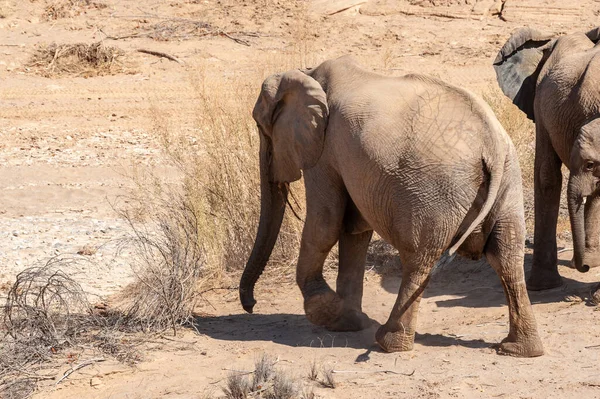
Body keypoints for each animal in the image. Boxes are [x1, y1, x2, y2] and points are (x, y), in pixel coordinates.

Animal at [239, 54, 544, 358]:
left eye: (261, 128)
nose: (250, 306)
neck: (307, 72)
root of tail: (491, 144)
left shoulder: (324, 150)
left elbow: (326, 224)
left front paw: (325, 311)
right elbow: (353, 231)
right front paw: (346, 322)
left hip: (435, 194)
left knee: (419, 259)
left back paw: (388, 343)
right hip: (508, 182)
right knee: (507, 257)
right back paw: (518, 349)